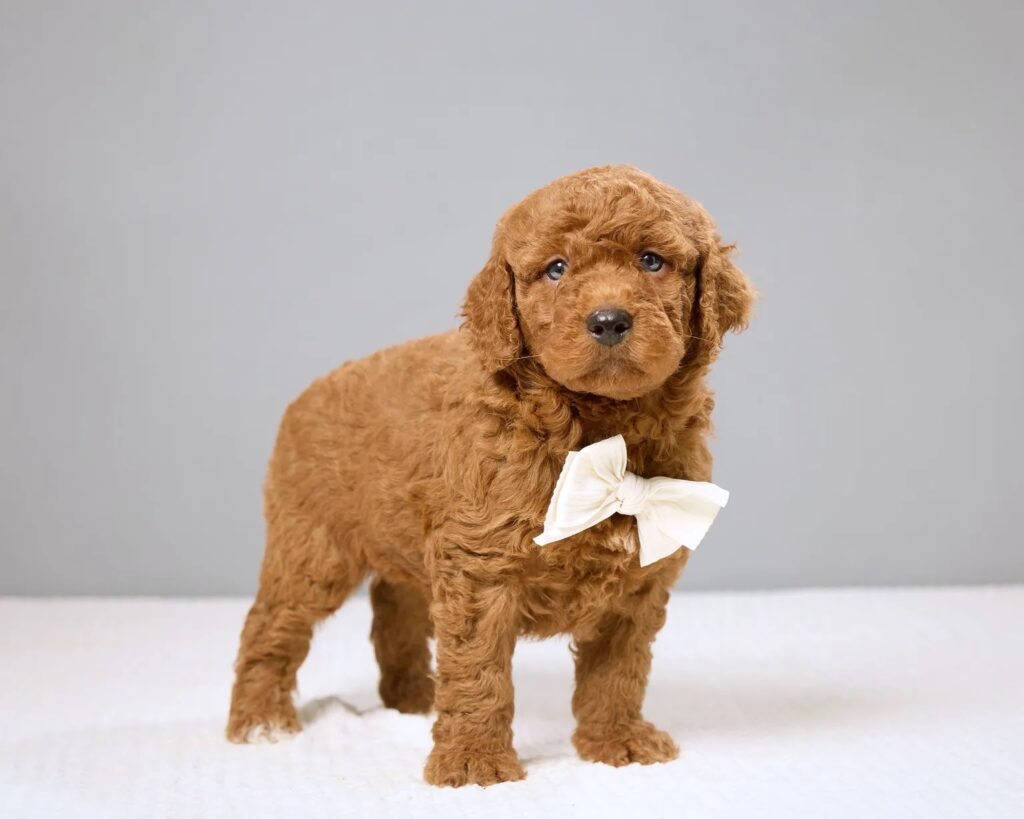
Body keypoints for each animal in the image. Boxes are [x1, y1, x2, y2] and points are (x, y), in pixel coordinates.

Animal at [234, 164, 761, 786]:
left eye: (651, 260)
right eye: (555, 269)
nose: (608, 320)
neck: (599, 435)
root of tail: (309, 392)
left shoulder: (638, 580)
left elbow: (619, 671)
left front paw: (617, 740)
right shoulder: (479, 566)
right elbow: (478, 669)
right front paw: (472, 760)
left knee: (395, 606)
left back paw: (411, 697)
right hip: (313, 547)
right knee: (272, 622)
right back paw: (260, 720)